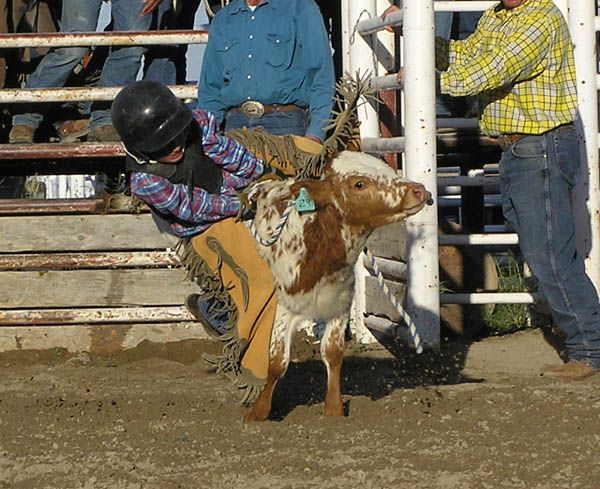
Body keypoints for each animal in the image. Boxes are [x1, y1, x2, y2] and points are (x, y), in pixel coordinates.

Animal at [244, 151, 432, 422]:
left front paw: (333, 410)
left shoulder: (340, 302)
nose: (418, 190)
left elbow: (332, 353)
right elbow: (277, 361)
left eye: (388, 168)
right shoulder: (285, 307)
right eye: (359, 184)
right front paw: (259, 411)